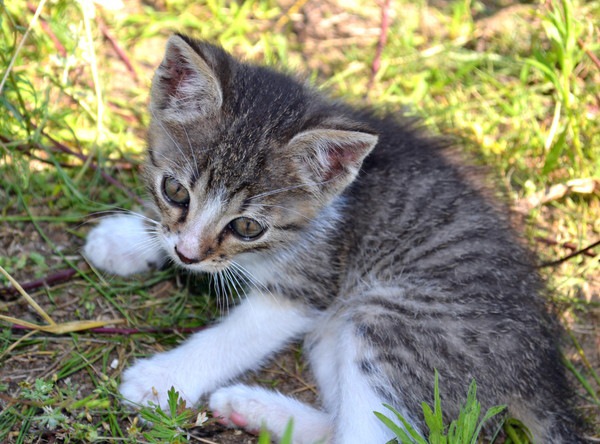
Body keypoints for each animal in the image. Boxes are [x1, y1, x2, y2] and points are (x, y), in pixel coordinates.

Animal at [82, 35, 584, 444]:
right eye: (175, 191)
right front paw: (126, 240)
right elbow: (165, 230)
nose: (187, 256)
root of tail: (540, 375)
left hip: (388, 323)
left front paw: (162, 377)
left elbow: (235, 336)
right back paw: (251, 408)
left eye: (247, 227)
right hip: (333, 336)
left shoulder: (308, 287)